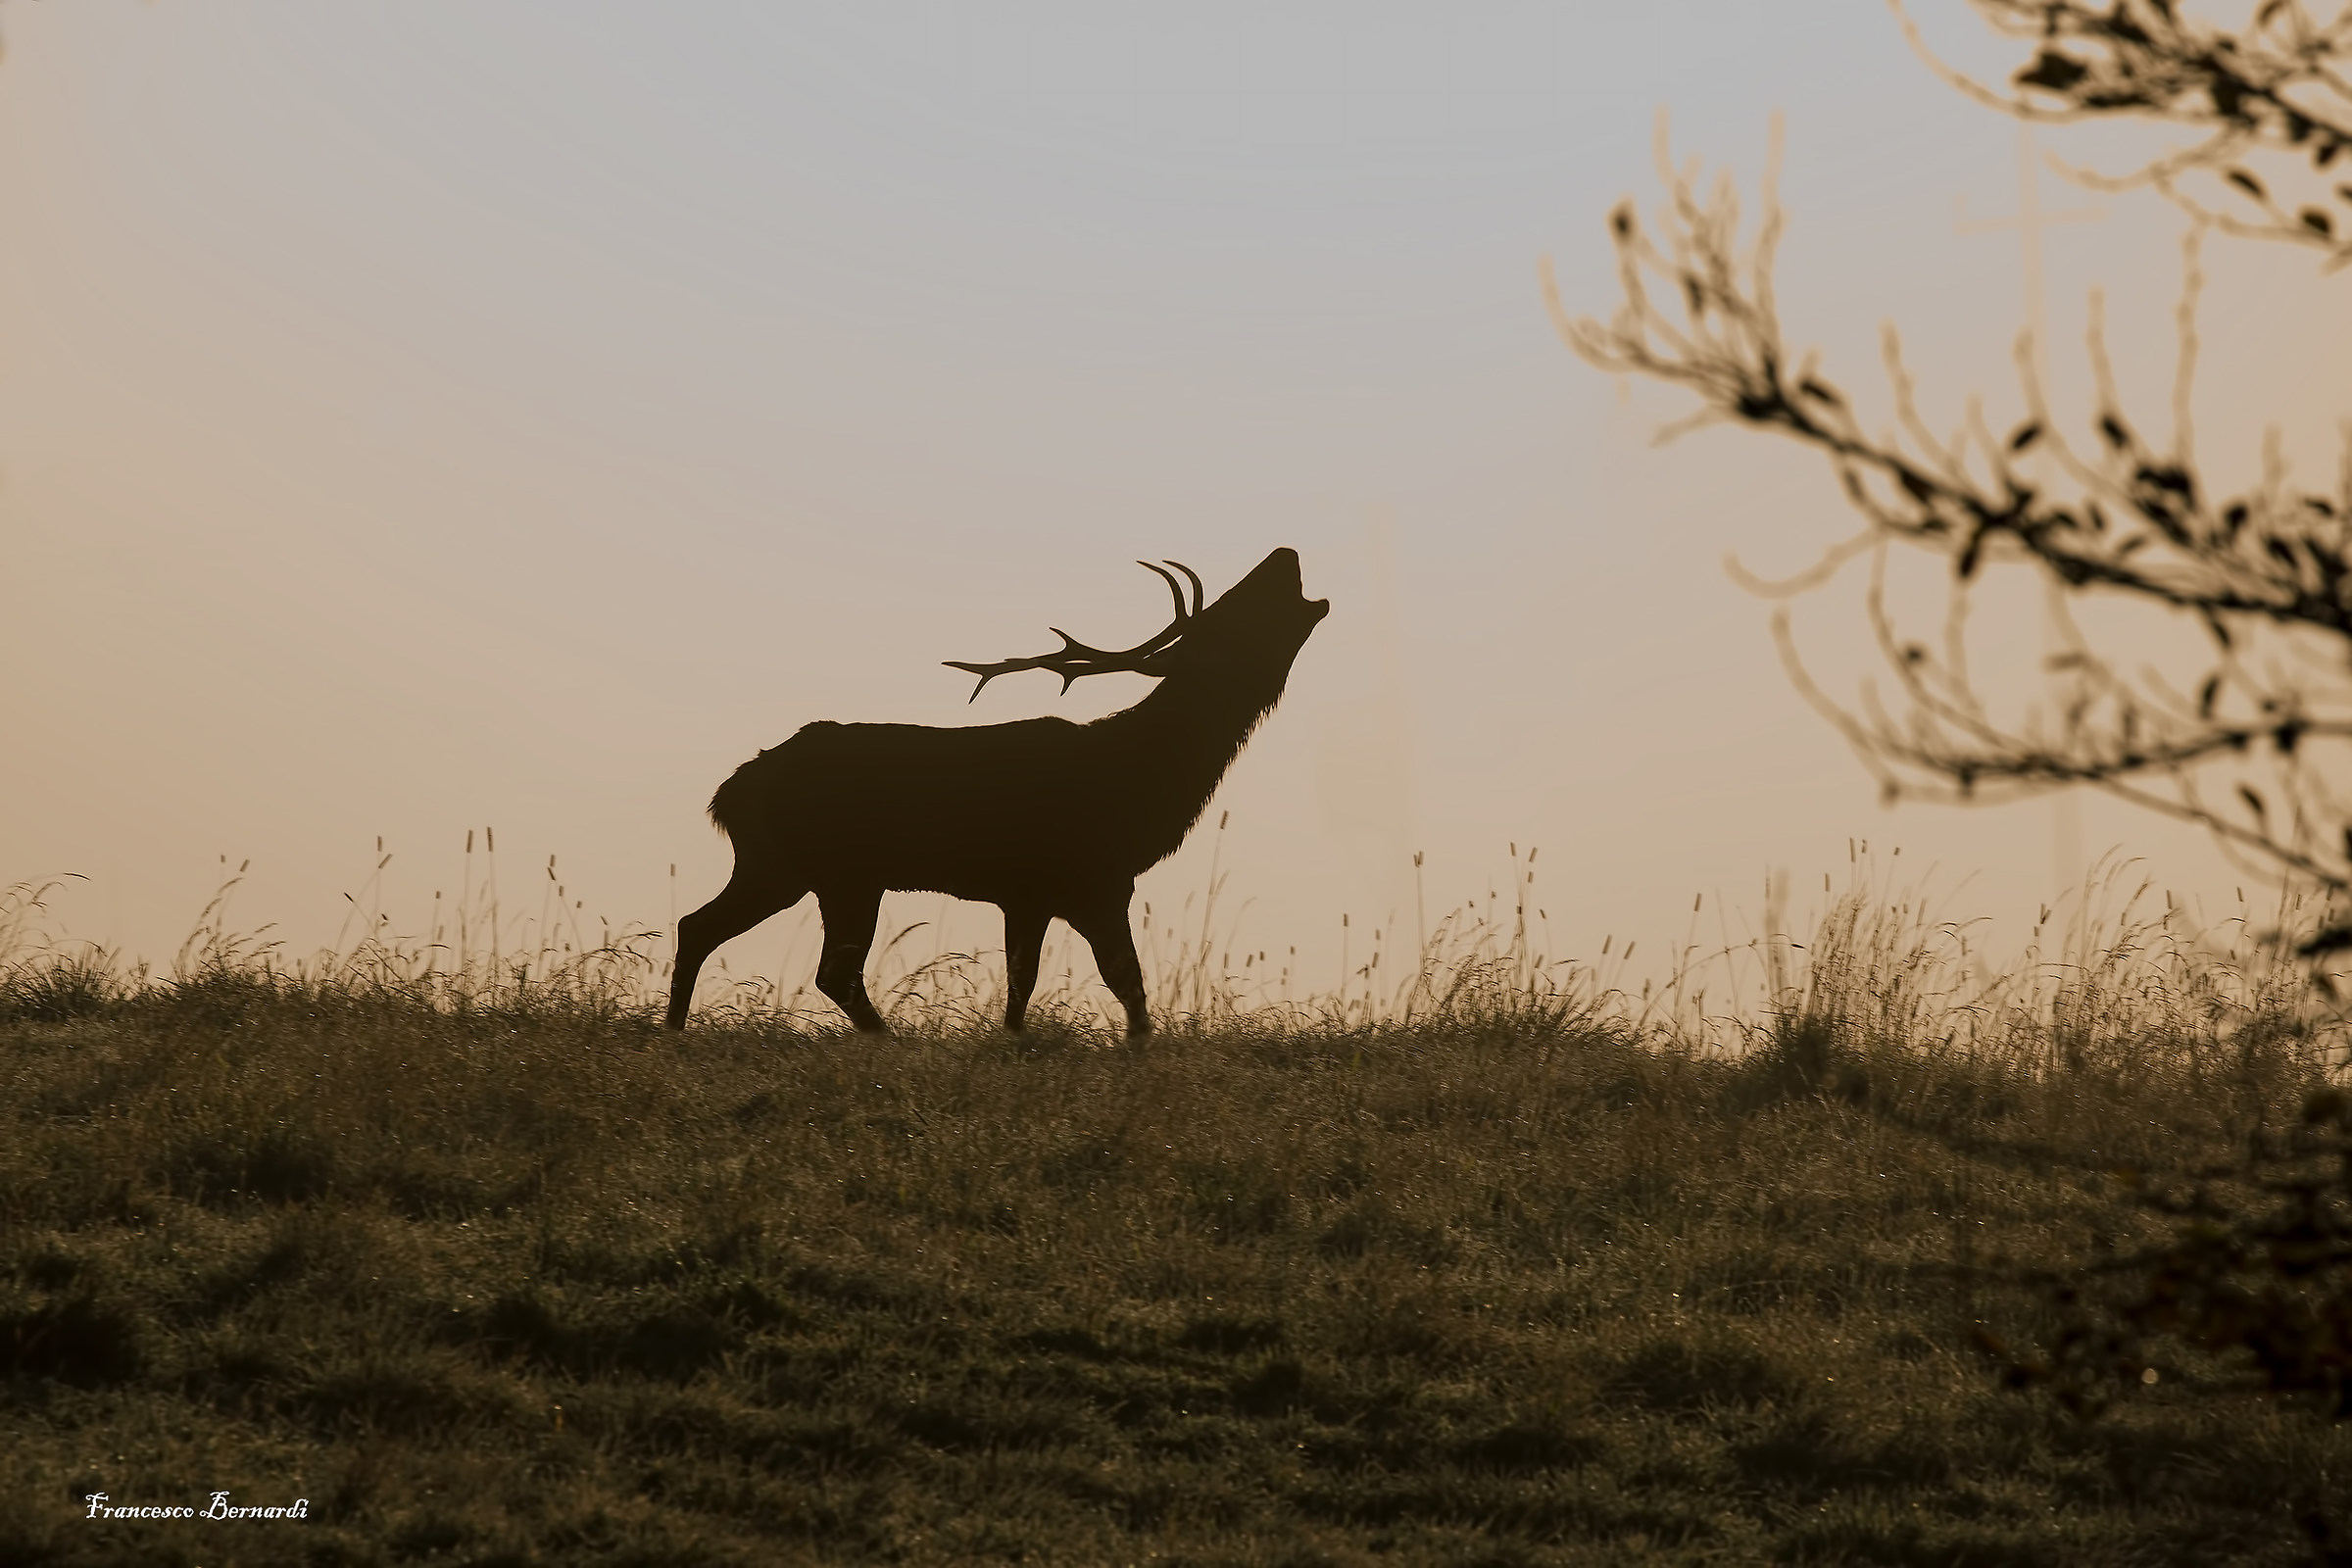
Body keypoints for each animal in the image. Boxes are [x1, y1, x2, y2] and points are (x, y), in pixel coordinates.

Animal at [665, 547, 1328, 1037]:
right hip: (824, 868)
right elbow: (1125, 985)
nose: (1285, 552)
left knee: (714, 930)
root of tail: (730, 792)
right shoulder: (1091, 879)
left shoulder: (1033, 894)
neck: (1141, 783)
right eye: (1233, 611)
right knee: (818, 964)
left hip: (799, 869)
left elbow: (1028, 984)